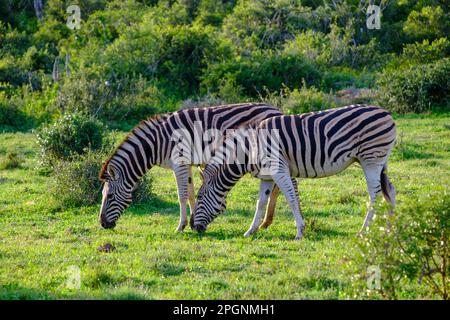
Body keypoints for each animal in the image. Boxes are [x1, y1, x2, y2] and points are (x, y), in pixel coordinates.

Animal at [99, 104, 284, 231]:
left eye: (110, 196)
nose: (102, 224)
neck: (157, 142)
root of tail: (277, 110)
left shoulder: (179, 163)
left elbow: (181, 195)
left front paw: (181, 225)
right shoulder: (185, 164)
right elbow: (190, 194)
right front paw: (193, 222)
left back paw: (266, 222)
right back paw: (266, 222)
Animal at [192, 104, 396, 239]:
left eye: (199, 197)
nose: (194, 227)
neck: (250, 150)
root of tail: (386, 113)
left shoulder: (279, 169)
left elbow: (290, 198)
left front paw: (300, 231)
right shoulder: (266, 176)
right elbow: (260, 203)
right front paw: (250, 231)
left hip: (371, 160)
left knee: (376, 196)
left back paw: (364, 230)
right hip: (380, 162)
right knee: (390, 191)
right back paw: (390, 229)